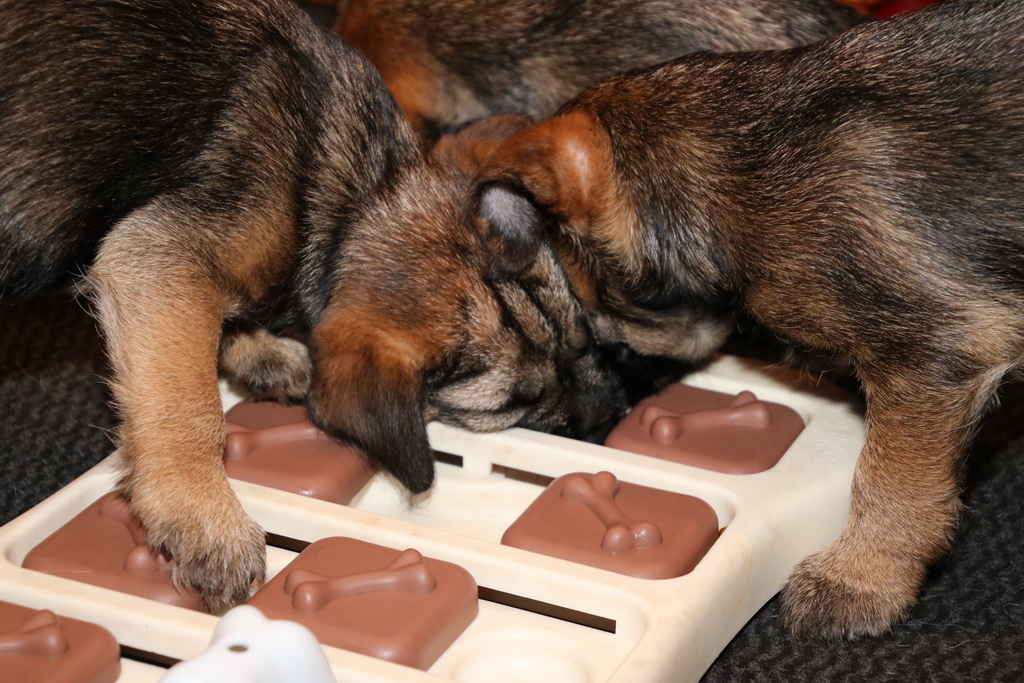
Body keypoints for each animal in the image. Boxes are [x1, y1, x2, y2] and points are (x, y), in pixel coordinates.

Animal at [0, 0, 693, 610]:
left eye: (582, 339)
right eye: (512, 404)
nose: (617, 410)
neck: (340, 206)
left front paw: (260, 351)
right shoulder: (156, 253)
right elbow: (186, 404)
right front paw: (203, 518)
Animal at [465, 0, 1024, 638]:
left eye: (590, 313)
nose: (602, 419)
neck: (745, 168)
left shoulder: (929, 360)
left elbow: (890, 481)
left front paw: (857, 579)